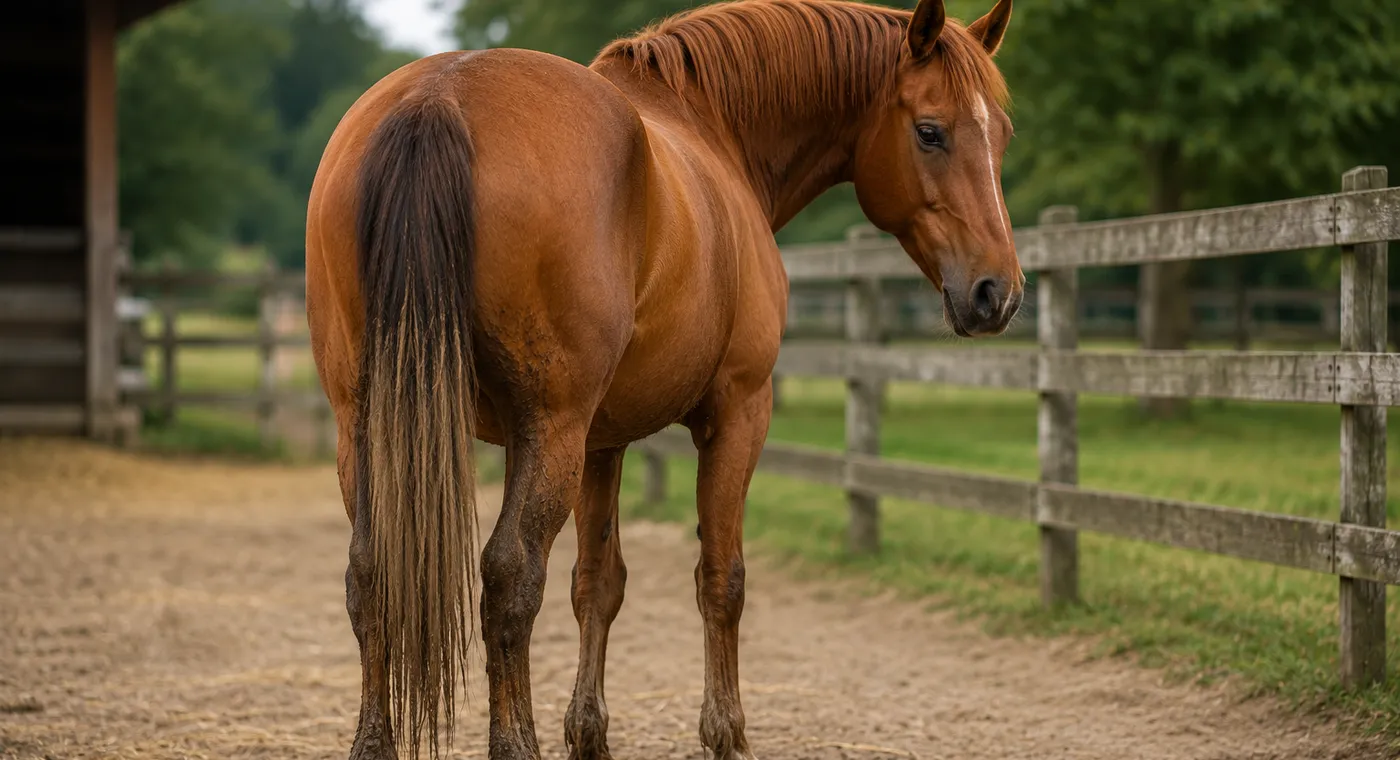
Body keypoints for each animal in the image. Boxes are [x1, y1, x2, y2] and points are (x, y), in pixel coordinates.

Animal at [304, 0, 1020, 757]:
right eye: (931, 131)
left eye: (1000, 134)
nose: (997, 292)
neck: (714, 131)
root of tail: (439, 95)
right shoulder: (737, 412)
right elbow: (721, 578)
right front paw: (726, 733)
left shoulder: (602, 441)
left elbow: (598, 583)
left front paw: (588, 733)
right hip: (548, 431)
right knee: (509, 577)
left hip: (368, 423)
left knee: (371, 574)